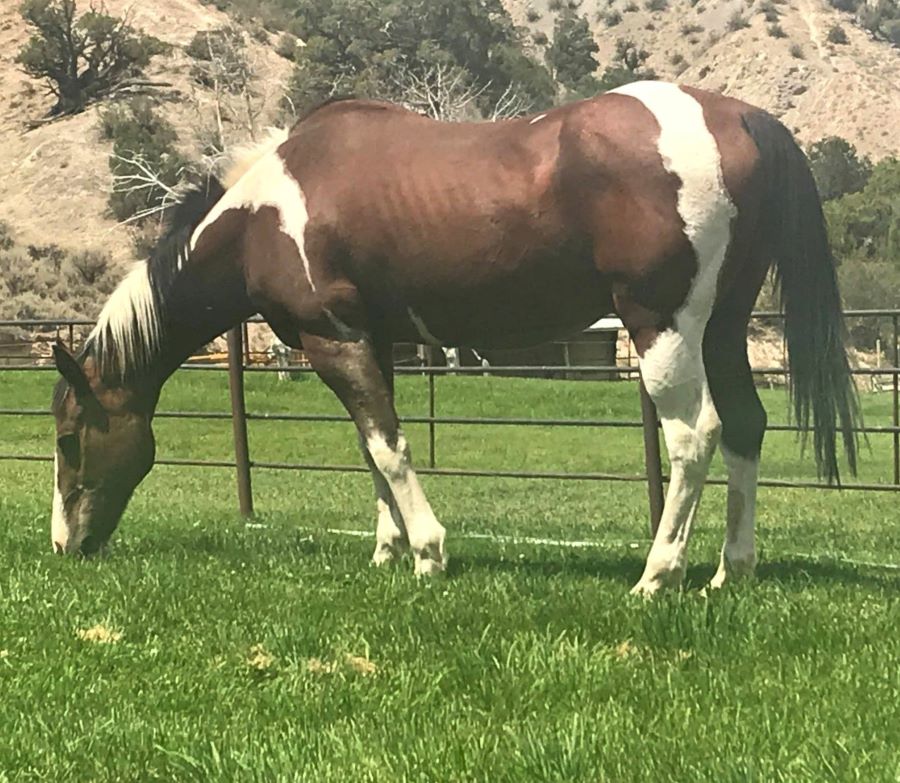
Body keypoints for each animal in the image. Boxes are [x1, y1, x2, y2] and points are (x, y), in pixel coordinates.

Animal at [49, 81, 856, 596]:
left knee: (696, 435)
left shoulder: (333, 339)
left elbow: (387, 448)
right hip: (722, 327)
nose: (64, 547)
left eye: (67, 438)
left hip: (664, 328)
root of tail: (737, 116)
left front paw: (428, 555)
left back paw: (657, 576)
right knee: (746, 425)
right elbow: (373, 447)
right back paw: (729, 571)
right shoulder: (374, 346)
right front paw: (388, 549)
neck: (263, 217)